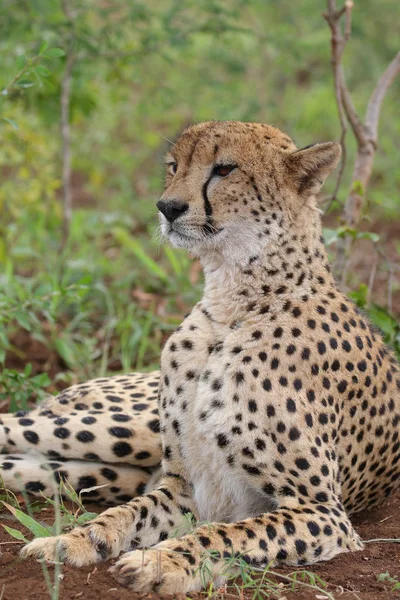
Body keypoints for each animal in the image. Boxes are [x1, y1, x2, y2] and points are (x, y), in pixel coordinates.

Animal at [1, 119, 398, 592]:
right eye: (174, 166)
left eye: (224, 169)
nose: (167, 207)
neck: (231, 306)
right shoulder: (184, 485)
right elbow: (123, 515)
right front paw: (72, 540)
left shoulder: (323, 512)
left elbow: (230, 533)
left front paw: (163, 561)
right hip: (121, 430)